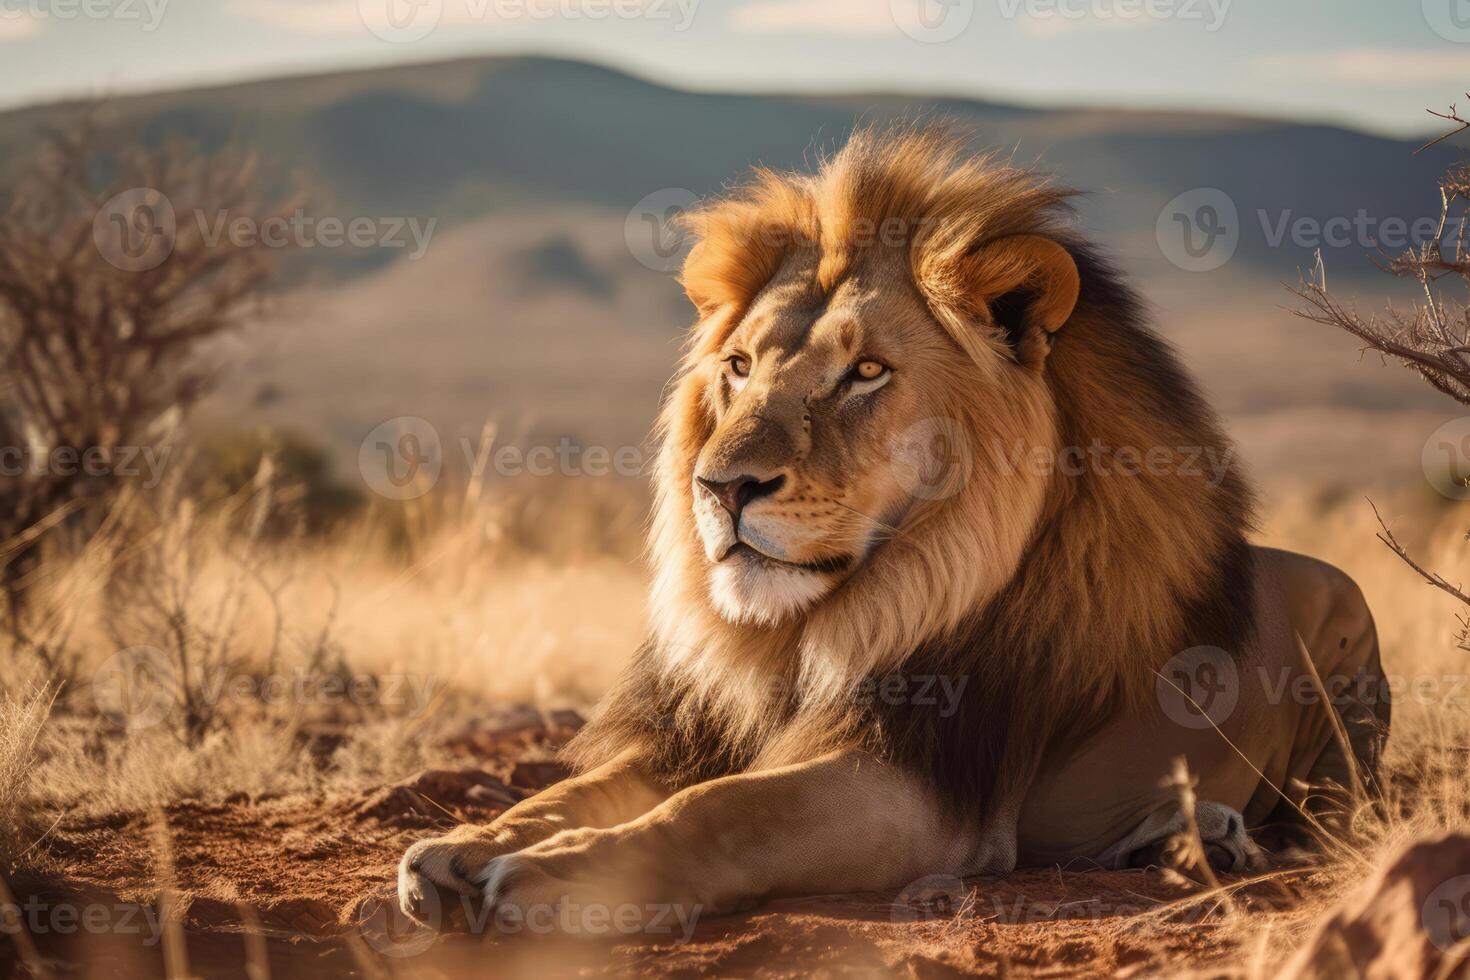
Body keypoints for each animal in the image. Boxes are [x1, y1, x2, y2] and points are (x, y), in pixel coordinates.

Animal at [399, 126, 1387, 934]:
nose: (720, 487)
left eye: (867, 372)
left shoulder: (916, 786)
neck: (797, 634)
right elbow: (582, 789)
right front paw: (470, 845)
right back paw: (1192, 837)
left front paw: (558, 879)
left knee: (1349, 808)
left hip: (1346, 621)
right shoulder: (698, 730)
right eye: (739, 366)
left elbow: (720, 812)